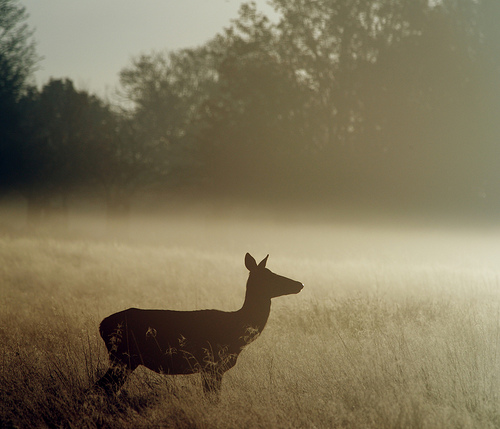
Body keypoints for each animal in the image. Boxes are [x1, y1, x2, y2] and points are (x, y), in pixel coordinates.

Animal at [95, 252, 302, 396]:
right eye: (269, 276)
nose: (299, 284)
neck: (237, 330)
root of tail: (102, 325)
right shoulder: (212, 365)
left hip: (124, 358)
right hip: (123, 357)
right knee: (103, 387)